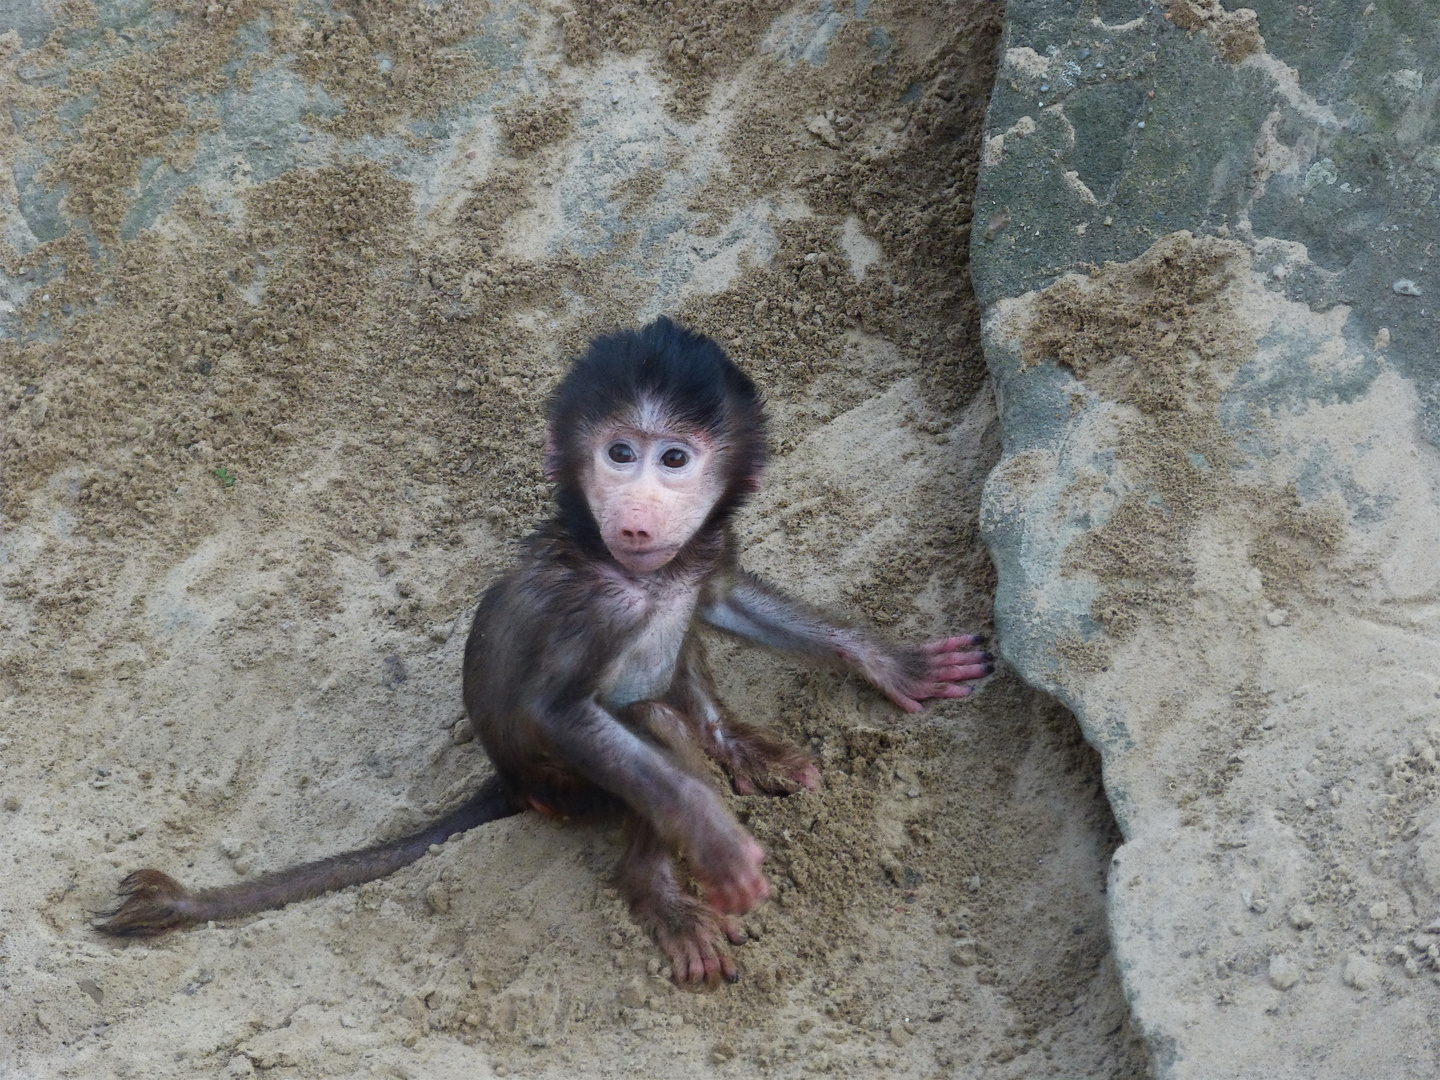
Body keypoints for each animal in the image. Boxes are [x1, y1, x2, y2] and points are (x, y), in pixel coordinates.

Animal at [92, 316, 990, 984]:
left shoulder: (704, 557)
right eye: (619, 454)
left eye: (674, 459)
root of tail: (508, 782)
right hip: (560, 788)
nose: (636, 511)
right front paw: (713, 840)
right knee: (651, 727)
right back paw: (659, 888)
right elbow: (560, 709)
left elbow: (724, 600)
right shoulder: (581, 608)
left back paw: (737, 744)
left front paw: (891, 662)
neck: (634, 572)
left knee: (681, 683)